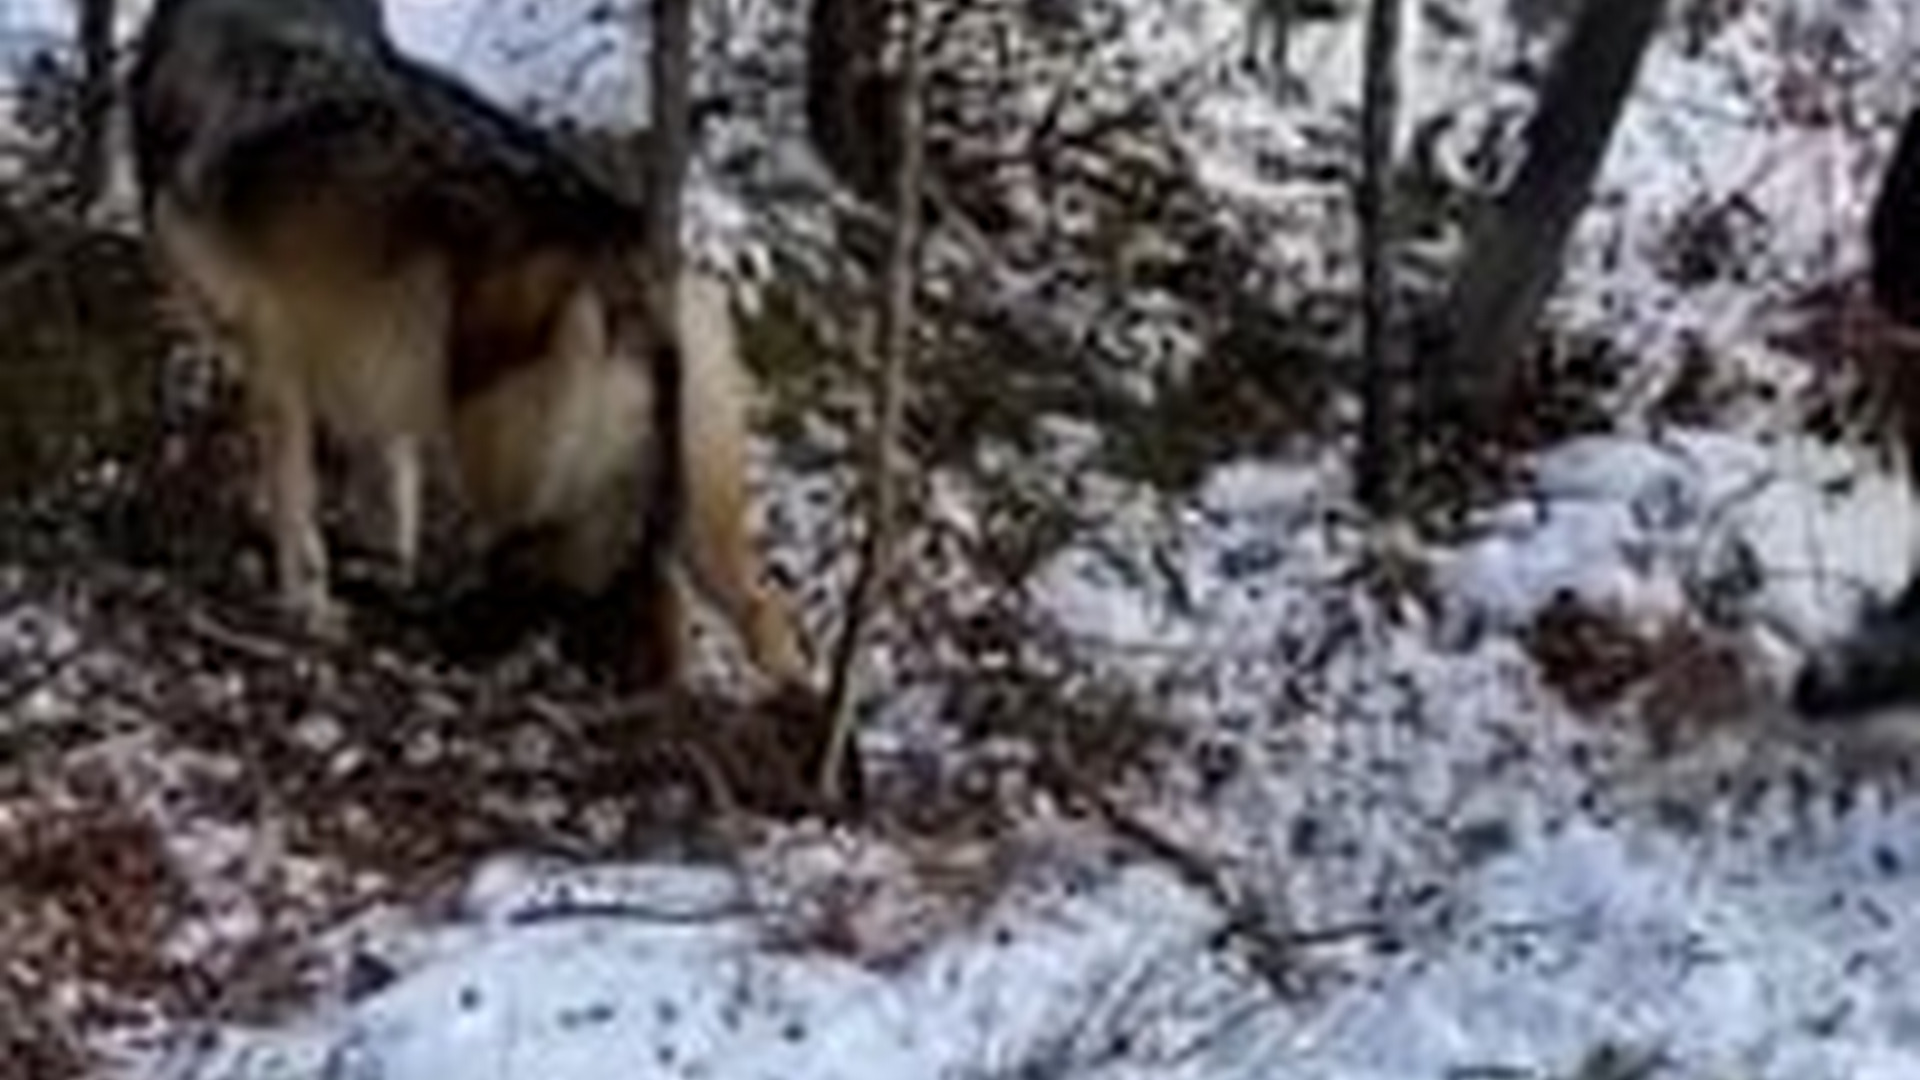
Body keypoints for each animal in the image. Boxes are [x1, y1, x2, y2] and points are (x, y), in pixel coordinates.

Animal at [128, 0, 809, 692]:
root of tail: (631, 257)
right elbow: (391, 507)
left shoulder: (273, 356)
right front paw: (381, 578)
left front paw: (308, 609)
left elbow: (296, 510)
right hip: (698, 516)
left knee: (557, 580)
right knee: (759, 612)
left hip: (509, 473)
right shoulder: (368, 386)